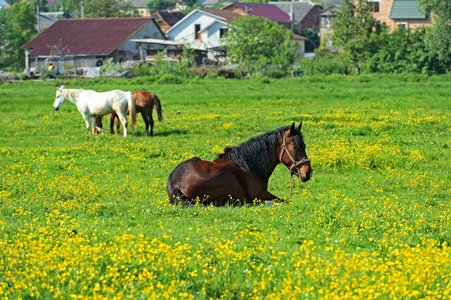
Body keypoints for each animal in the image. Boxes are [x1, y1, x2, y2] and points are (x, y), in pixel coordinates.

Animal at [168, 122, 312, 206]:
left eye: (304, 145)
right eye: (295, 146)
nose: (308, 173)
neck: (248, 165)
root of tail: (175, 182)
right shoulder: (259, 194)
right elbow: (286, 201)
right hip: (230, 181)